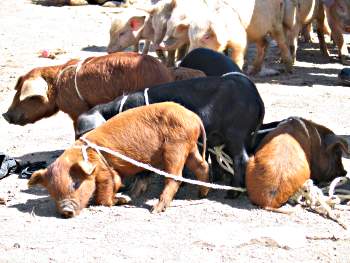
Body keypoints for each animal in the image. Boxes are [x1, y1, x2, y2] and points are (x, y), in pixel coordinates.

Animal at [28, 103, 209, 219]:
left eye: (75, 184)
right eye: (52, 192)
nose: (66, 211)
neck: (88, 155)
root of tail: (193, 117)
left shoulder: (104, 170)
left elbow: (106, 192)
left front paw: (124, 199)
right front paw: (124, 196)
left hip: (176, 147)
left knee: (175, 177)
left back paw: (155, 210)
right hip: (189, 146)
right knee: (202, 166)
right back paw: (202, 194)